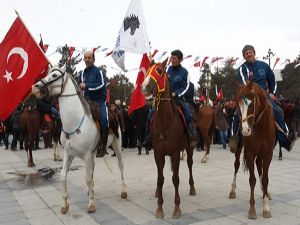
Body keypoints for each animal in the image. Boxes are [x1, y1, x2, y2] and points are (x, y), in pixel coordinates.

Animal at [31, 66, 126, 214]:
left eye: (55, 75)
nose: (35, 87)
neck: (74, 122)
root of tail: (113, 113)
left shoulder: (86, 155)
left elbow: (87, 178)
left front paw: (91, 204)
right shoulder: (69, 154)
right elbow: (63, 176)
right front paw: (65, 204)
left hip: (116, 145)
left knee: (120, 165)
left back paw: (123, 191)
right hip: (94, 153)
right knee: (93, 169)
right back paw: (91, 191)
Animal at [141, 60, 197, 220]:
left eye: (159, 70)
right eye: (147, 70)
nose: (144, 87)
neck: (165, 122)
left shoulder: (175, 153)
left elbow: (175, 179)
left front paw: (177, 208)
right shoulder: (158, 153)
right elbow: (160, 179)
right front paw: (159, 208)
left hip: (189, 148)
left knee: (190, 164)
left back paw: (192, 188)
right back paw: (156, 192)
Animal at [230, 80, 276, 219]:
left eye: (251, 104)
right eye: (238, 104)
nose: (245, 130)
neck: (260, 127)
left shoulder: (267, 154)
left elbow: (265, 178)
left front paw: (266, 207)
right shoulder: (250, 153)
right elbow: (252, 180)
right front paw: (252, 209)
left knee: (259, 166)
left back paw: (265, 193)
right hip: (239, 149)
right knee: (236, 165)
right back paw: (232, 190)